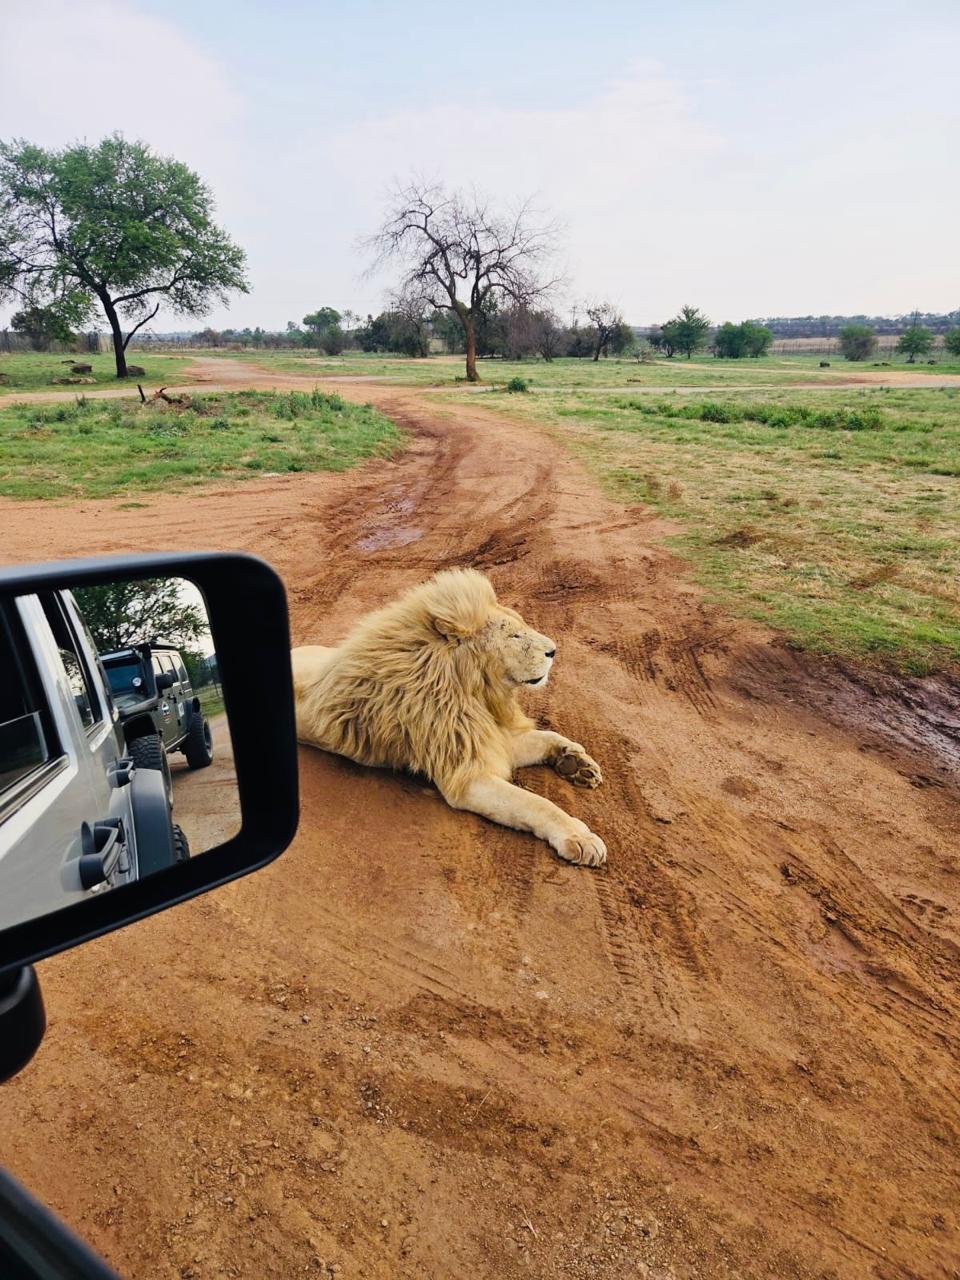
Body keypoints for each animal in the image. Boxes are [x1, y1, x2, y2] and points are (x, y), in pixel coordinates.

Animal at [292, 568, 607, 867]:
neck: (474, 687)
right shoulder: (466, 772)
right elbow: (535, 803)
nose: (554, 651)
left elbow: (545, 737)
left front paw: (576, 762)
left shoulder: (486, 736)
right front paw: (579, 837)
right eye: (514, 636)